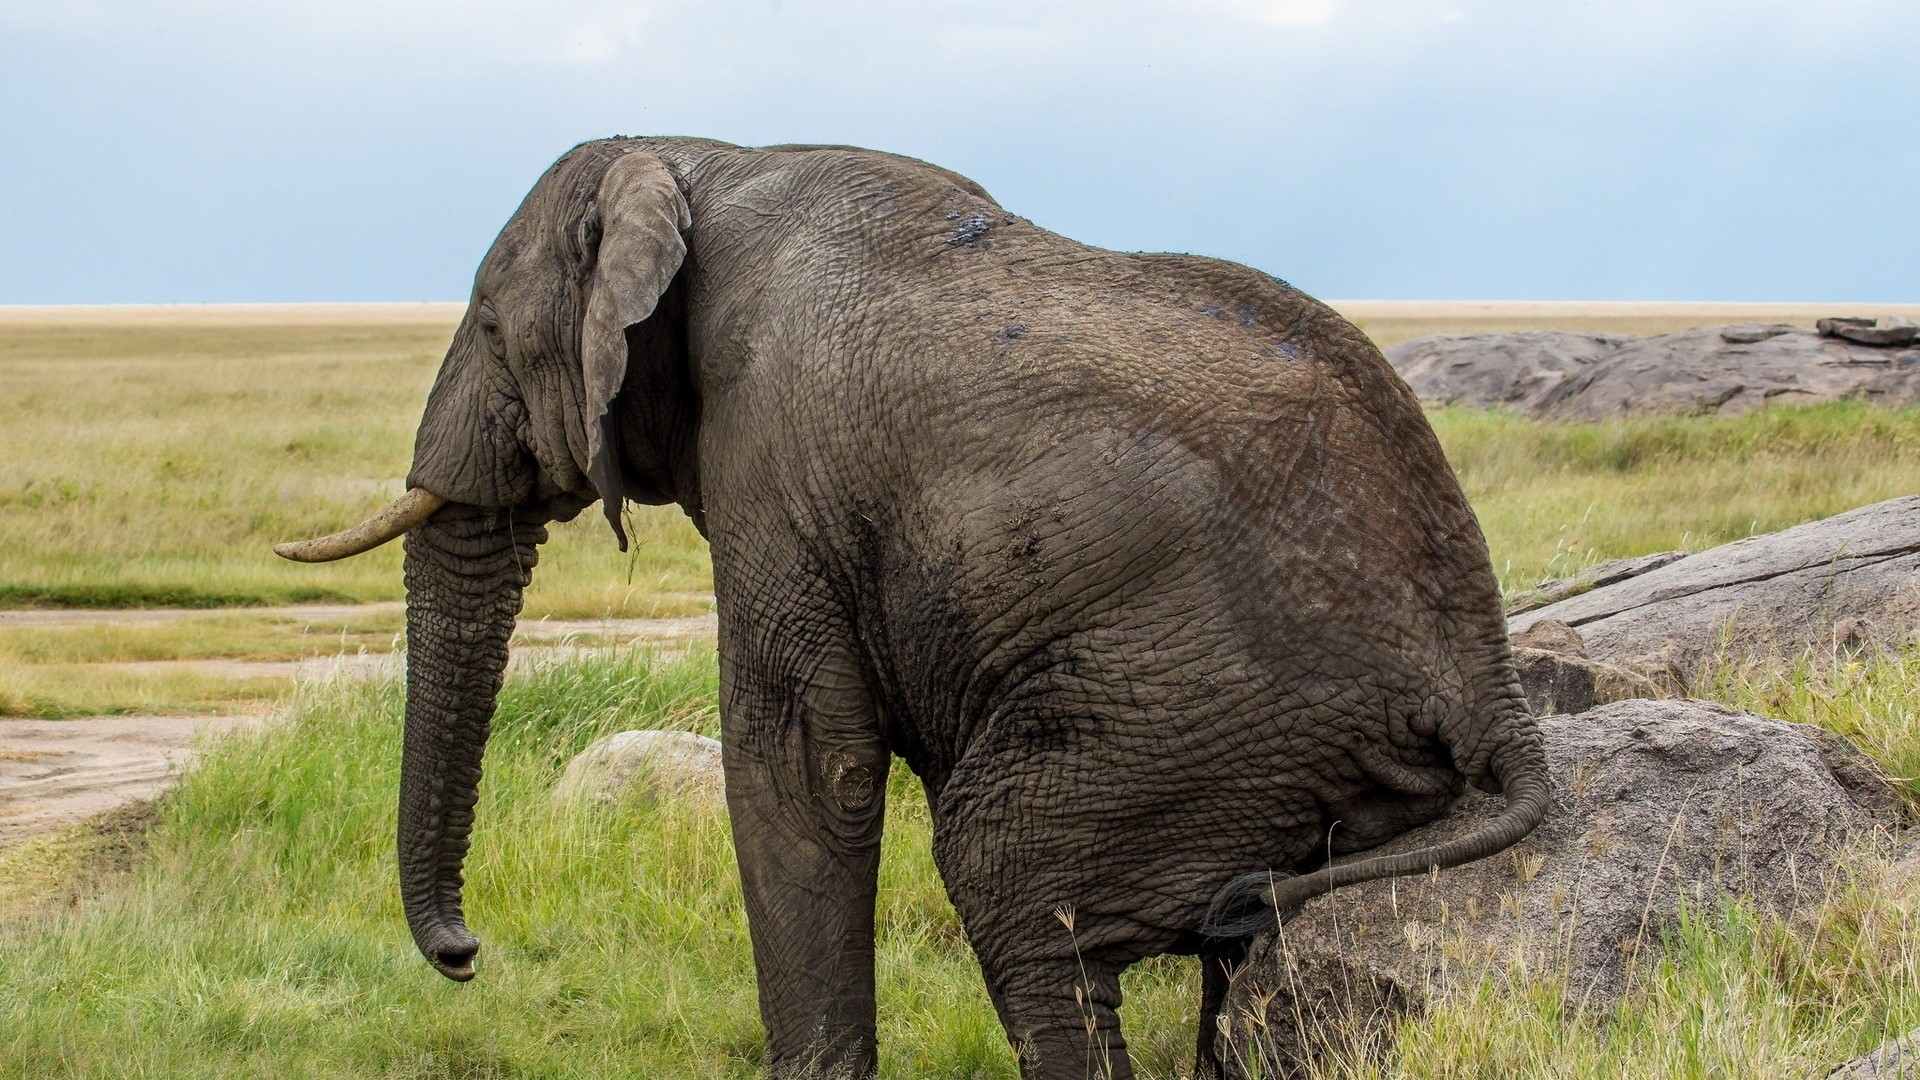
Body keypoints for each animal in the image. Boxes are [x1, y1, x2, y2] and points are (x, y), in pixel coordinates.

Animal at [276, 136, 1550, 1080]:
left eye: (493, 331)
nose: (465, 955)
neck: (698, 159)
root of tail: (1492, 680)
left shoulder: (776, 453)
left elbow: (802, 756)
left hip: (1206, 706)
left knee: (1007, 868)